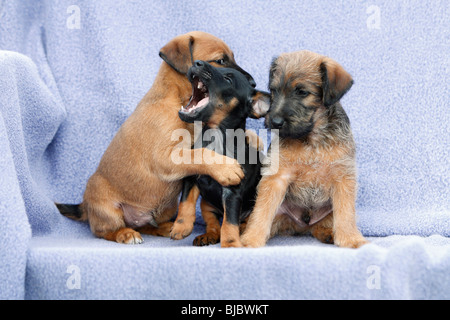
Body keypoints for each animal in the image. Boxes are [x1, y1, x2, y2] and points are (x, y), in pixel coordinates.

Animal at [56, 31, 256, 244]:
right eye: (220, 60)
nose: (253, 84)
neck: (176, 101)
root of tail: (85, 206)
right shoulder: (163, 158)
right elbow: (200, 154)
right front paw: (226, 168)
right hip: (107, 208)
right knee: (104, 231)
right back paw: (126, 234)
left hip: (166, 207)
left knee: (145, 225)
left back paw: (165, 227)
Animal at [168, 61, 268, 249]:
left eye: (228, 79)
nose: (197, 62)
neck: (214, 135)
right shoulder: (191, 178)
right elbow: (185, 202)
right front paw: (181, 227)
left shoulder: (232, 192)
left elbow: (229, 221)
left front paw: (230, 244)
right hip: (206, 205)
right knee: (213, 224)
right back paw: (207, 236)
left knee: (241, 222)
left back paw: (241, 232)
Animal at [241, 50, 368, 250]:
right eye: (274, 91)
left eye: (302, 92)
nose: (274, 121)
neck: (311, 139)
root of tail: (301, 226)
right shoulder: (276, 178)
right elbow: (261, 212)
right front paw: (250, 239)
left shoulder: (343, 178)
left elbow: (346, 213)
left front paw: (351, 239)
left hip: (326, 214)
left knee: (321, 226)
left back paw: (328, 234)